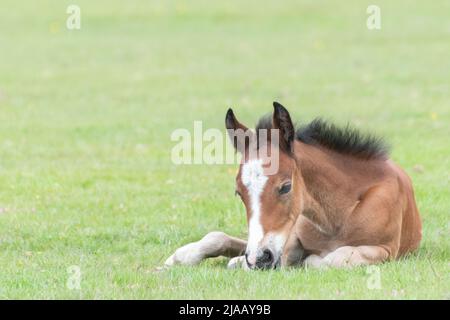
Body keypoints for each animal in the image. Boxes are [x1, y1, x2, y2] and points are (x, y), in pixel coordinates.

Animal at [165, 103, 422, 270]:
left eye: (286, 187)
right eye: (239, 192)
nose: (260, 258)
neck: (340, 215)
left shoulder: (385, 249)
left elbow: (335, 258)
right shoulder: (288, 237)